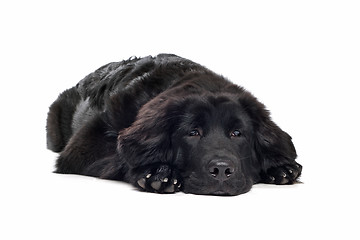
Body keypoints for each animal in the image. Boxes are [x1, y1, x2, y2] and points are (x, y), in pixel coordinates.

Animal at [46, 54, 302, 195]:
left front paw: (281, 167)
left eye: (237, 133)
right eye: (193, 132)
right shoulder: (84, 145)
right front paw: (158, 172)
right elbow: (120, 155)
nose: (221, 170)